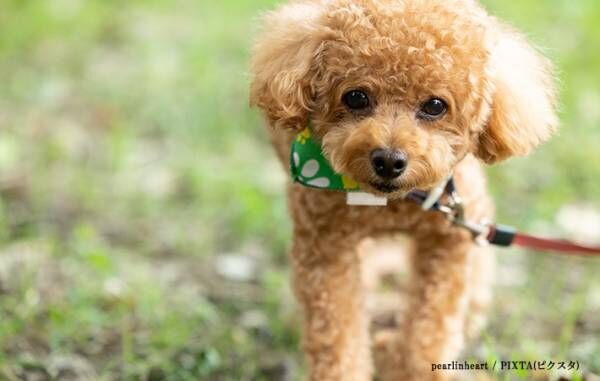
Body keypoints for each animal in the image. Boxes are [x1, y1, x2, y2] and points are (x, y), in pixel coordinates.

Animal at [248, 1, 556, 378]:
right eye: (356, 97)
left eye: (435, 106)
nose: (389, 160)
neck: (392, 202)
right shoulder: (325, 244)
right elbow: (337, 336)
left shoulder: (448, 238)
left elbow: (428, 333)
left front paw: (401, 360)